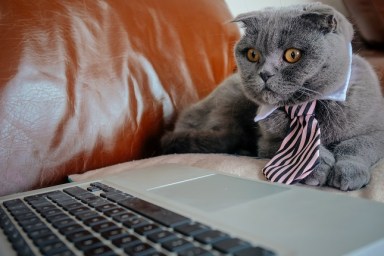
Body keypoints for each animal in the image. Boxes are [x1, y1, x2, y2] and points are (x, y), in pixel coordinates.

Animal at [160, 2, 384, 190]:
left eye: (292, 54)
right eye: (252, 54)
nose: (265, 74)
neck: (307, 107)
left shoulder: (378, 131)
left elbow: (356, 145)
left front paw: (348, 172)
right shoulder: (268, 140)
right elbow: (297, 145)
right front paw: (315, 169)